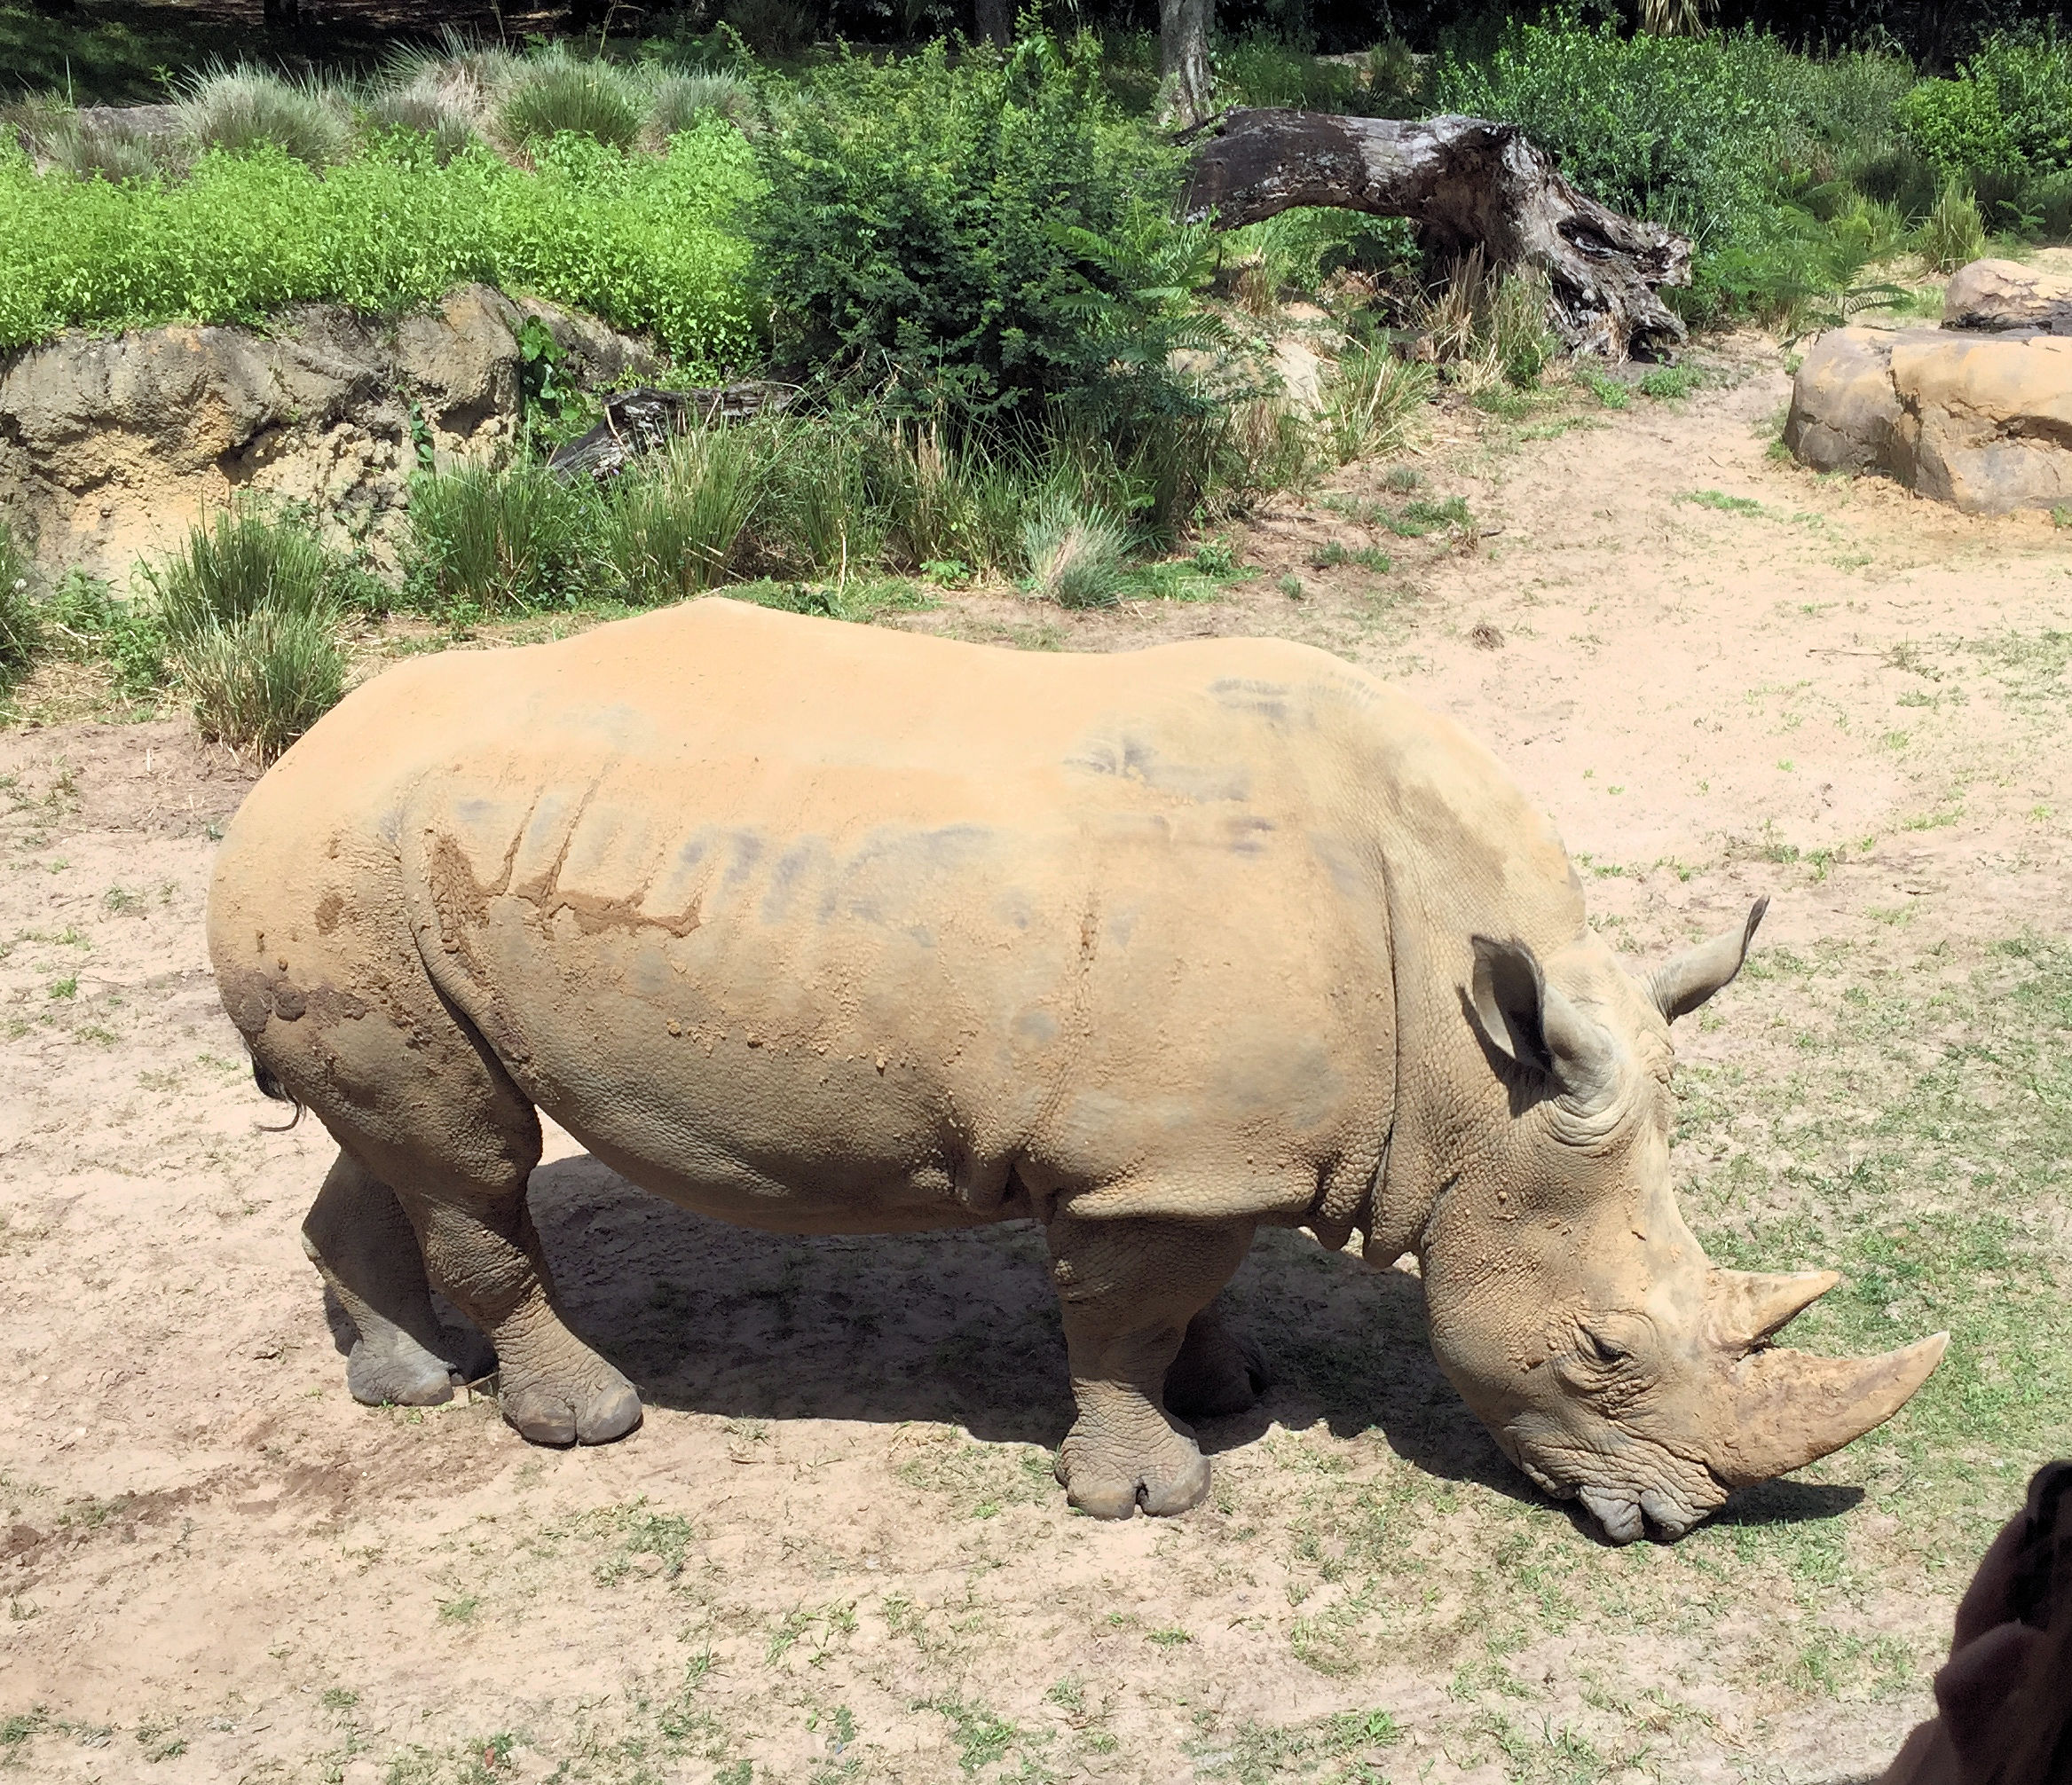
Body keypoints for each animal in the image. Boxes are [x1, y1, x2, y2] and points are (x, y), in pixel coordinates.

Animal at [208, 598, 1945, 1540]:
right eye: (1599, 1352)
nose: (1676, 1519)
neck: (1466, 1073)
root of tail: (290, 755)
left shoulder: (1209, 1148)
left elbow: (1199, 1288)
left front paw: (1233, 1386)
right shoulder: (1142, 1160)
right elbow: (1120, 1316)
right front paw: (1147, 1496)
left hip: (380, 878)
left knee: (405, 1137)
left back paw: (402, 1381)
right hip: (351, 854)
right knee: (475, 1161)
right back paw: (588, 1422)